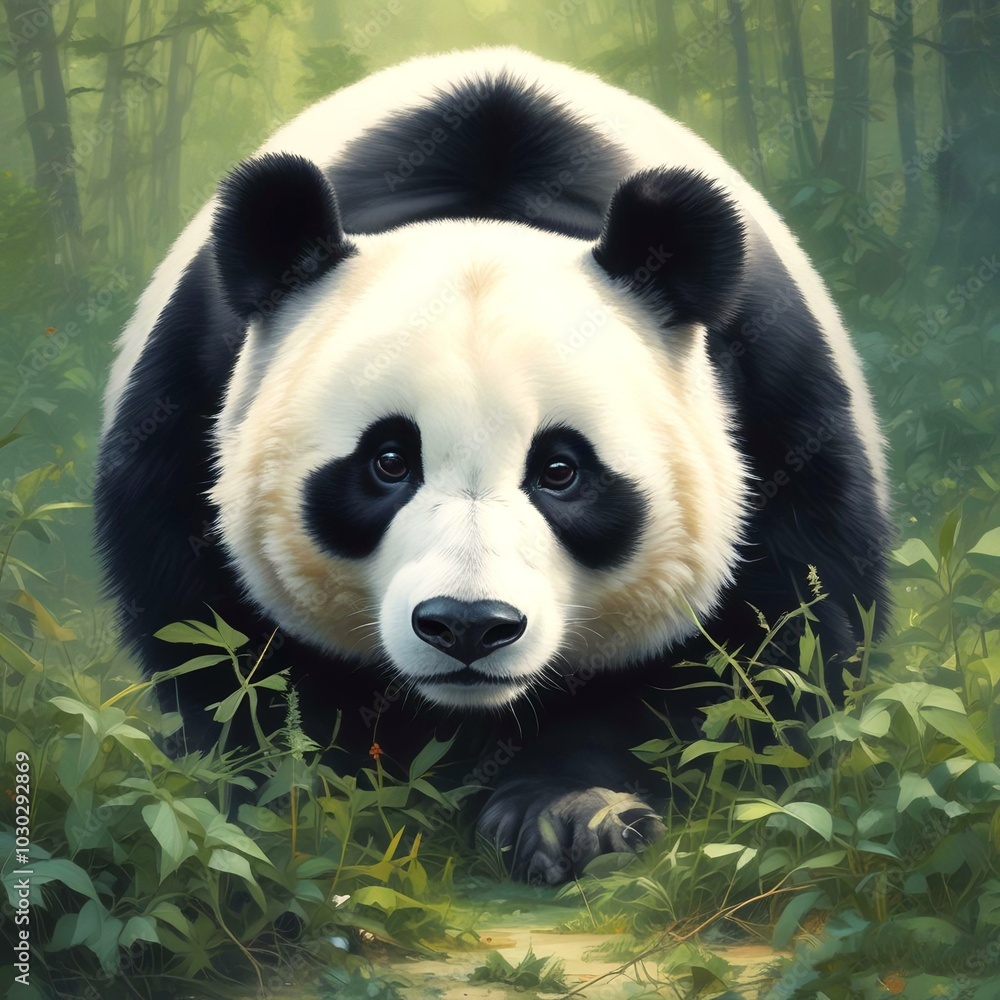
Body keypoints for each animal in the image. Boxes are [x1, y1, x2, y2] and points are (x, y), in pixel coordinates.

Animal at [95, 47, 892, 885]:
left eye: (560, 470)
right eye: (388, 461)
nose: (468, 626)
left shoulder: (772, 412)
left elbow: (768, 641)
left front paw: (571, 815)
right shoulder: (191, 403)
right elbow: (221, 647)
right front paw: (305, 807)